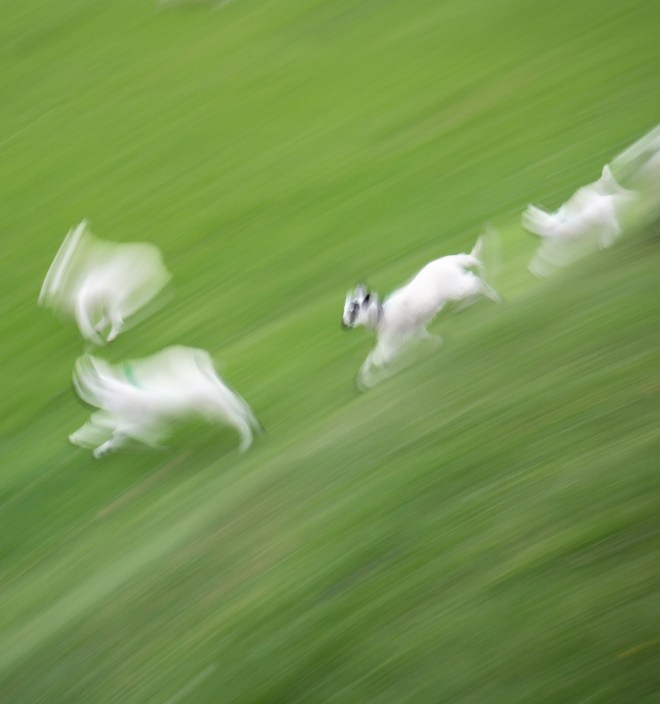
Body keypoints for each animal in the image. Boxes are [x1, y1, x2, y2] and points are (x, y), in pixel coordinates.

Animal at [69, 346, 261, 457]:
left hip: (219, 409)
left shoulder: (134, 421)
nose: (77, 389)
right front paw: (97, 447)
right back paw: (256, 429)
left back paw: (245, 443)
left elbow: (117, 432)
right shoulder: (129, 420)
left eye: (81, 383)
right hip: (223, 402)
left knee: (239, 419)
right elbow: (111, 431)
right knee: (243, 410)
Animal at [341, 237, 499, 389]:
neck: (382, 316)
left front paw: (374, 378)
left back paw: (495, 298)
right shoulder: (411, 330)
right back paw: (466, 306)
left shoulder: (392, 338)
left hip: (457, 287)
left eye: (353, 309)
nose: (343, 324)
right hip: (458, 285)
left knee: (476, 282)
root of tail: (453, 261)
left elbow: (380, 359)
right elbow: (374, 357)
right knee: (473, 281)